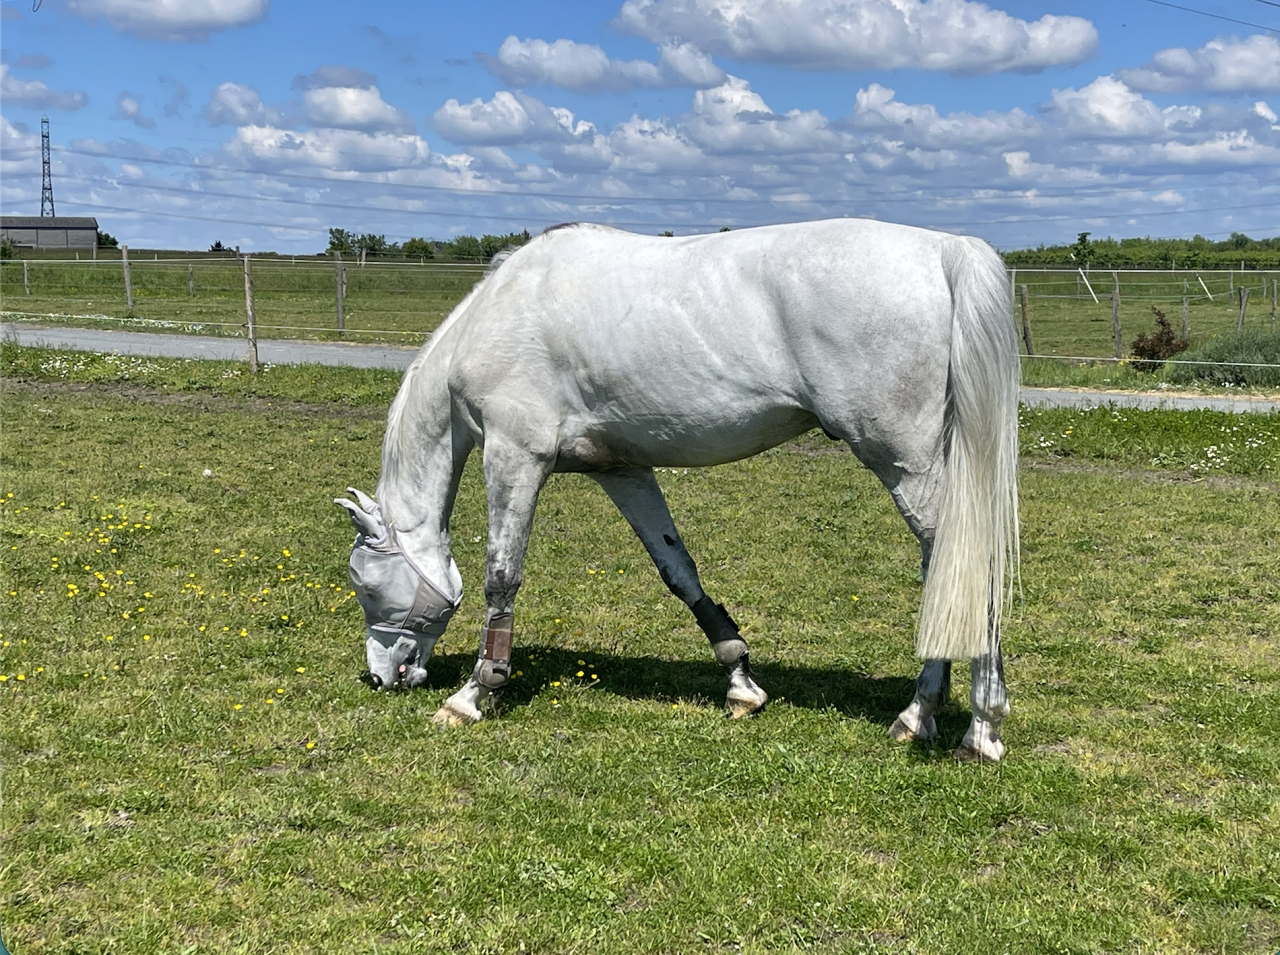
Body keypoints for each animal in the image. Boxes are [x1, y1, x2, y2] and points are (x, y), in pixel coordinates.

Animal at [335, 217, 1020, 761]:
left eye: (365, 584)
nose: (382, 678)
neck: (500, 312)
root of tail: (945, 249)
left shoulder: (514, 457)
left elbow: (501, 578)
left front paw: (475, 693)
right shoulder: (623, 472)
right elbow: (679, 571)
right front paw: (741, 683)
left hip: (905, 465)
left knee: (964, 568)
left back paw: (978, 729)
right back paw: (920, 715)